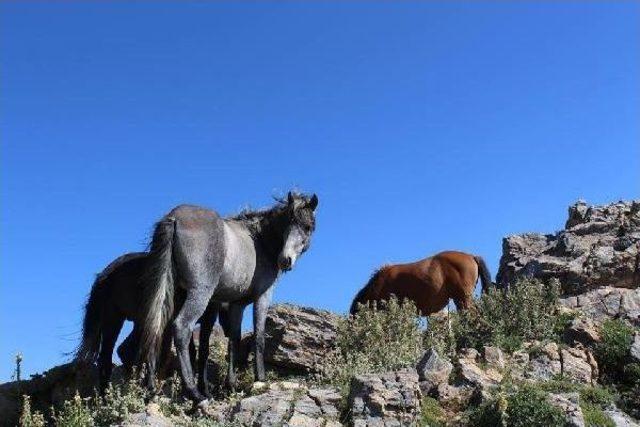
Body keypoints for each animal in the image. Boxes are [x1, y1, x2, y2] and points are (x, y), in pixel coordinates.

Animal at [75, 251, 228, 394]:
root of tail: (104, 274)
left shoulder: (205, 318)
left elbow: (197, 350)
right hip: (114, 318)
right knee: (108, 357)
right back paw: (108, 395)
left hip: (138, 321)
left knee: (126, 350)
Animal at [141, 193, 320, 404]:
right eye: (289, 222)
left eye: (307, 226)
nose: (285, 260)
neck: (260, 240)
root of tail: (175, 217)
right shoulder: (263, 296)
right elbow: (259, 337)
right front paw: (260, 379)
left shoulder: (236, 305)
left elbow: (234, 340)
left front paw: (231, 385)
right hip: (199, 294)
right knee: (181, 328)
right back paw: (194, 392)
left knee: (156, 328)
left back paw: (152, 388)